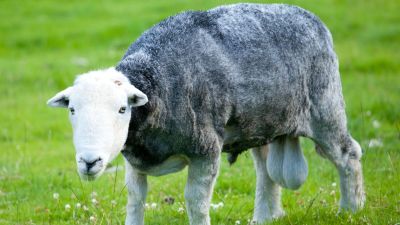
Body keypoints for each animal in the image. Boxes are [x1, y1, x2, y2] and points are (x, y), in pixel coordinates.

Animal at [47, 3, 366, 225]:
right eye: (72, 109)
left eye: (122, 109)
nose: (90, 161)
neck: (158, 82)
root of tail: (308, 16)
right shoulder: (135, 160)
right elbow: (136, 199)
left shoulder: (205, 149)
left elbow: (195, 202)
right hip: (261, 123)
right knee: (265, 171)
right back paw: (265, 217)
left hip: (325, 108)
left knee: (348, 154)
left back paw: (351, 210)